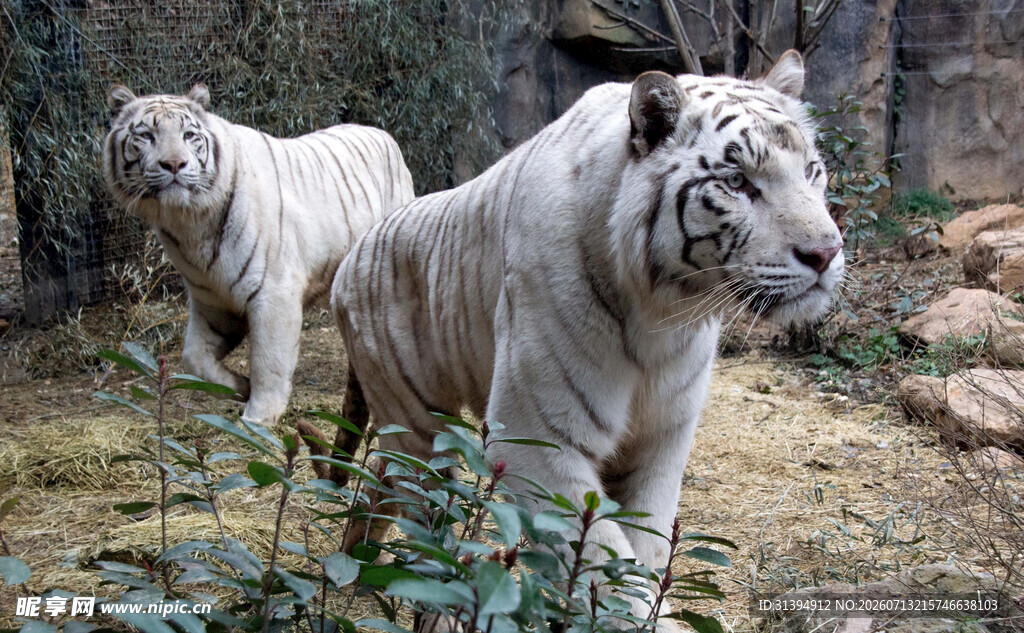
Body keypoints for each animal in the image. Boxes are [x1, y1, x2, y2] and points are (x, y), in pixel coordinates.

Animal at [103, 84, 414, 427]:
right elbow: (193, 359)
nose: (174, 164)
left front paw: (258, 417)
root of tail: (383, 134)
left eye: (188, 135)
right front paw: (240, 387)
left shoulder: (274, 293)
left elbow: (268, 361)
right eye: (146, 135)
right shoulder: (212, 301)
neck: (189, 222)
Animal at [329, 50, 843, 626]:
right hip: (419, 429)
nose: (826, 252)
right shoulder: (537, 438)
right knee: (422, 515)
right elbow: (607, 568)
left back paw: (354, 566)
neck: (664, 311)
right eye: (736, 181)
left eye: (812, 171)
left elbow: (647, 547)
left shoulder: (662, 438)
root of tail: (353, 254)